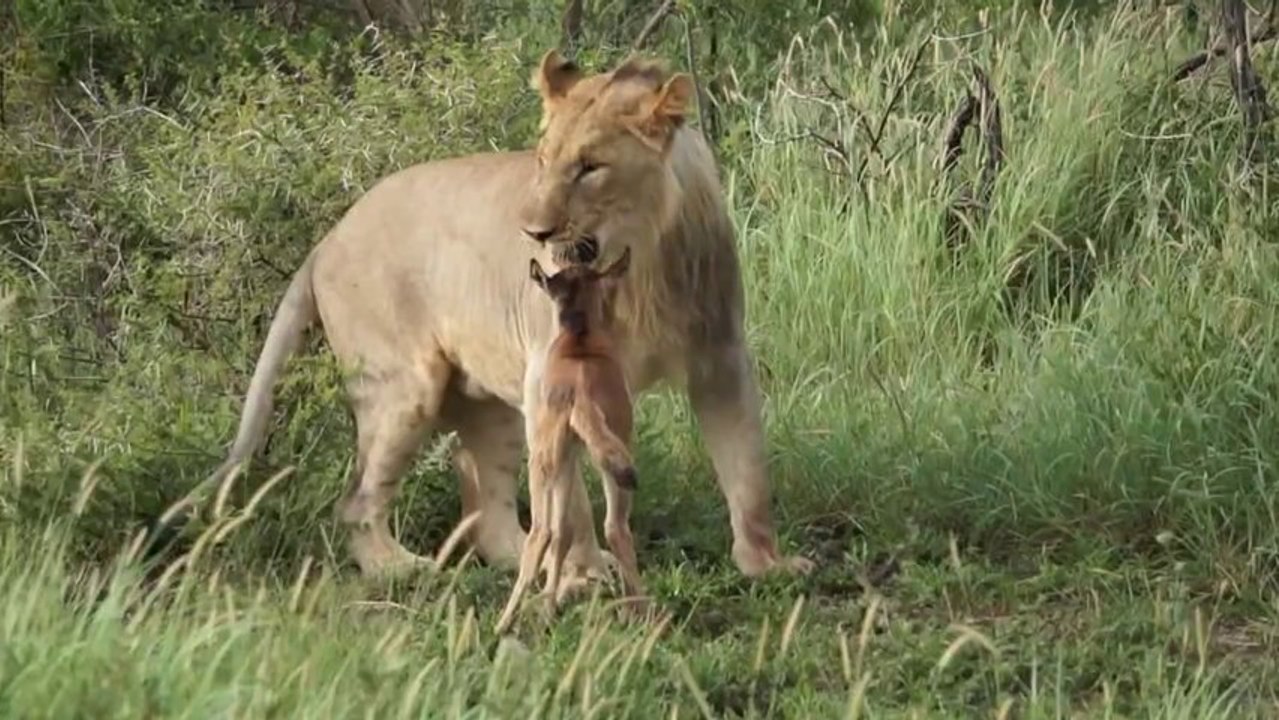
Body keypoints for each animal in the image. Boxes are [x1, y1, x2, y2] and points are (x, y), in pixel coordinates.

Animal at [192, 49, 813, 594]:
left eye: (591, 168)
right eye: (542, 160)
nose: (533, 231)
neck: (638, 267)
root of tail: (327, 239)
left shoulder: (720, 354)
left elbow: (747, 467)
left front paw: (766, 564)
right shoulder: (551, 376)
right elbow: (570, 499)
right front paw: (585, 575)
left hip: (494, 406)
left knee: (485, 508)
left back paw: (522, 560)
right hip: (405, 387)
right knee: (357, 498)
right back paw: (400, 568)